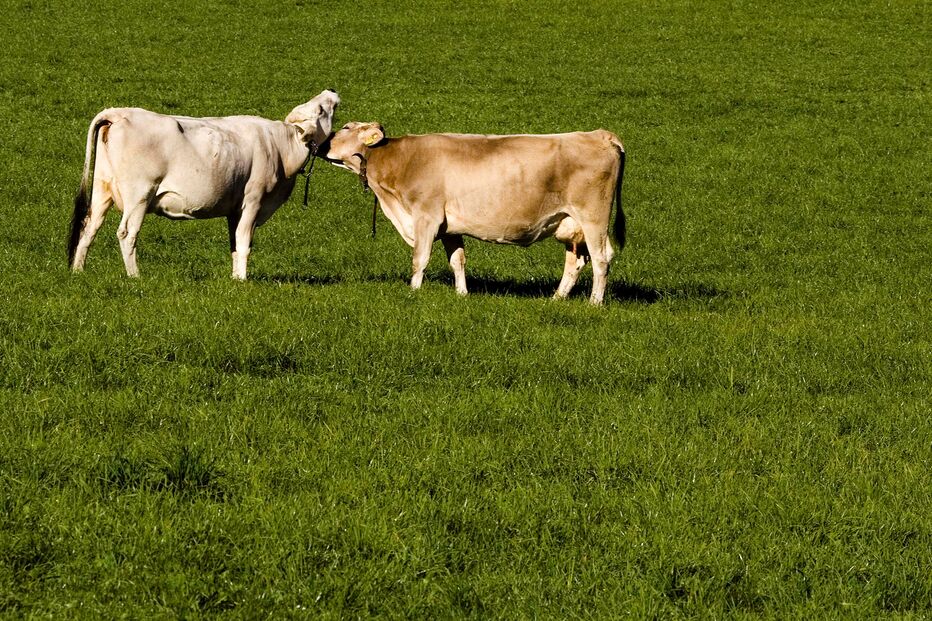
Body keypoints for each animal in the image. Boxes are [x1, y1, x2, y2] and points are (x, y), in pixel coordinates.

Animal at [67, 89, 341, 279]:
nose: (332, 90)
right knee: (126, 233)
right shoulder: (253, 201)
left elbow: (234, 243)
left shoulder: (235, 209)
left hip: (102, 190)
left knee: (89, 226)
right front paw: (243, 280)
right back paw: (135, 277)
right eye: (320, 110)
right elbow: (244, 242)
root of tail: (118, 112)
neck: (280, 146)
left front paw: (234, 278)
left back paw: (78, 271)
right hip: (139, 195)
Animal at [318, 122, 625, 304]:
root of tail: (600, 134)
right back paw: (557, 299)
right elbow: (458, 261)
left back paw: (595, 302)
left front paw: (413, 292)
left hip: (593, 218)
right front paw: (462, 294)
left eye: (345, 126)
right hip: (571, 224)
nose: (320, 144)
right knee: (576, 261)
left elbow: (419, 259)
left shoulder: (426, 217)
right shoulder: (448, 227)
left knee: (601, 259)